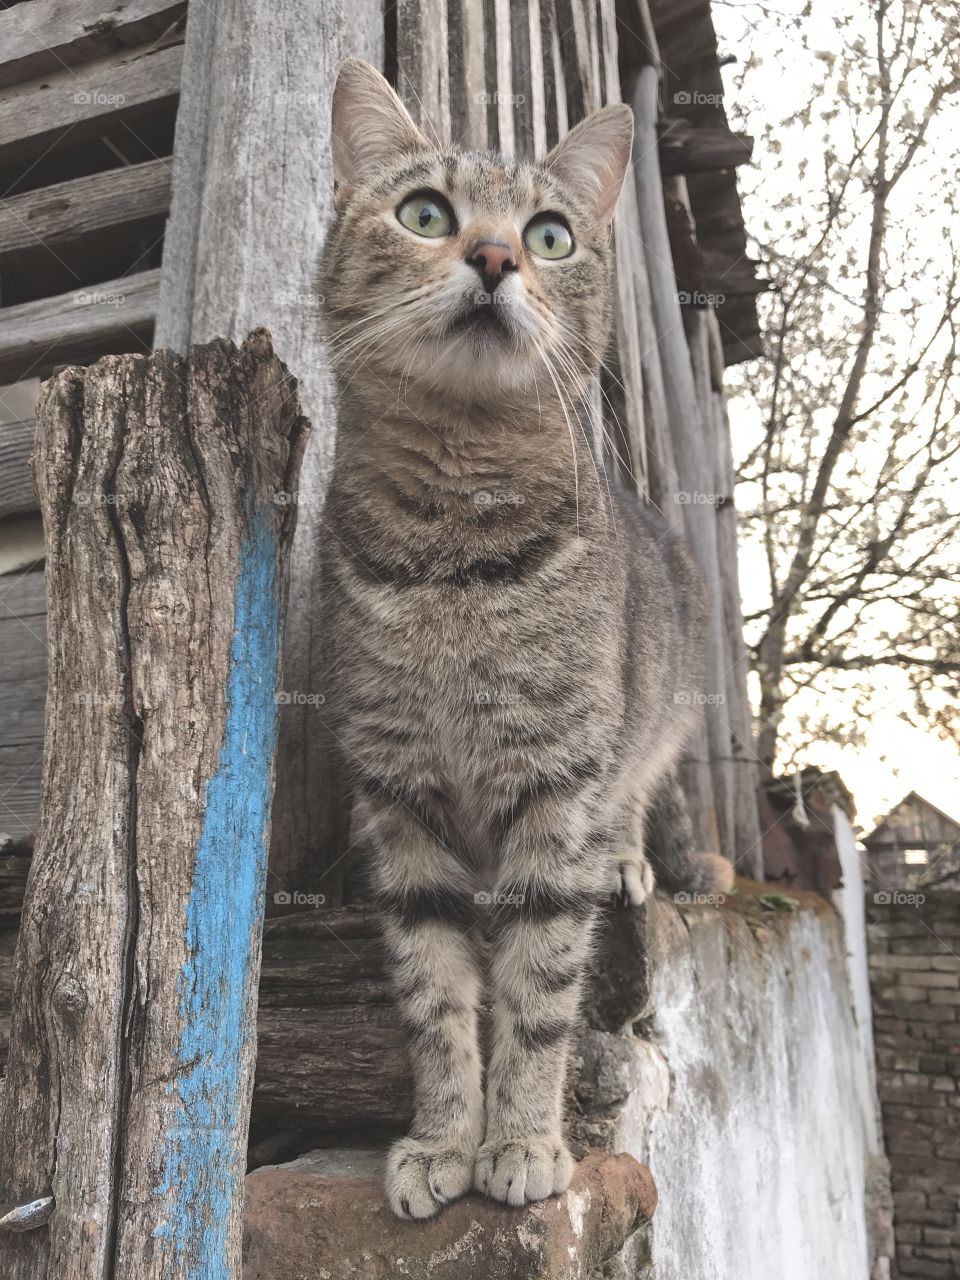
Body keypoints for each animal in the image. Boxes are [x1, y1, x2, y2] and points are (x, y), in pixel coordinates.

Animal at [320, 57, 732, 1218]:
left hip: (647, 719)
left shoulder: (558, 785)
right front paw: (441, 1139)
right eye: (426, 214)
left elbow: (541, 988)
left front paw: (522, 1139)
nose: (497, 257)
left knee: (633, 801)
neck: (451, 555)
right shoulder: (397, 794)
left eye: (549, 235)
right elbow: (435, 997)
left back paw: (633, 863)